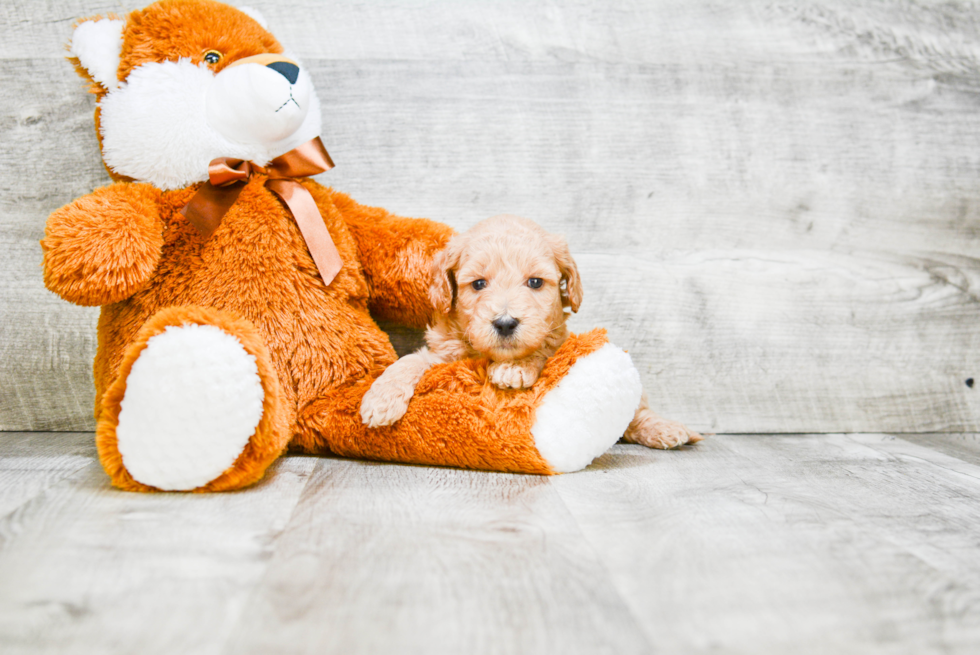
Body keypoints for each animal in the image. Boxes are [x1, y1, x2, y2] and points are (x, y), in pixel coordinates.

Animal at [356, 215, 700, 452]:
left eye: (535, 282)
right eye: (478, 284)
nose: (506, 322)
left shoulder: (556, 341)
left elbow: (540, 350)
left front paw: (514, 368)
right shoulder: (443, 355)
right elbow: (408, 362)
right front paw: (380, 399)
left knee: (636, 413)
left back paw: (666, 429)